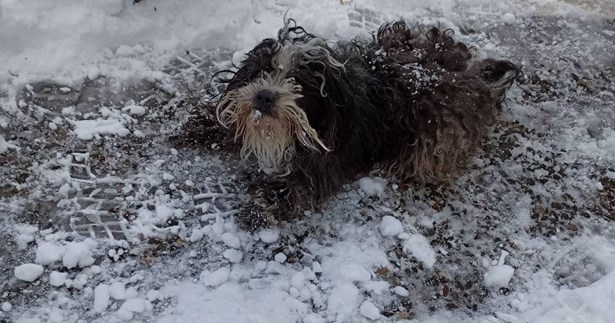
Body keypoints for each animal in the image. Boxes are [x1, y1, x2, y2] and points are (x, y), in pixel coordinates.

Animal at [214, 19, 516, 229]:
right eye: (263, 70)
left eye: (297, 82)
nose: (264, 96)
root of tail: (472, 75)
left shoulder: (327, 161)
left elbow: (299, 185)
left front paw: (260, 205)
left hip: (434, 136)